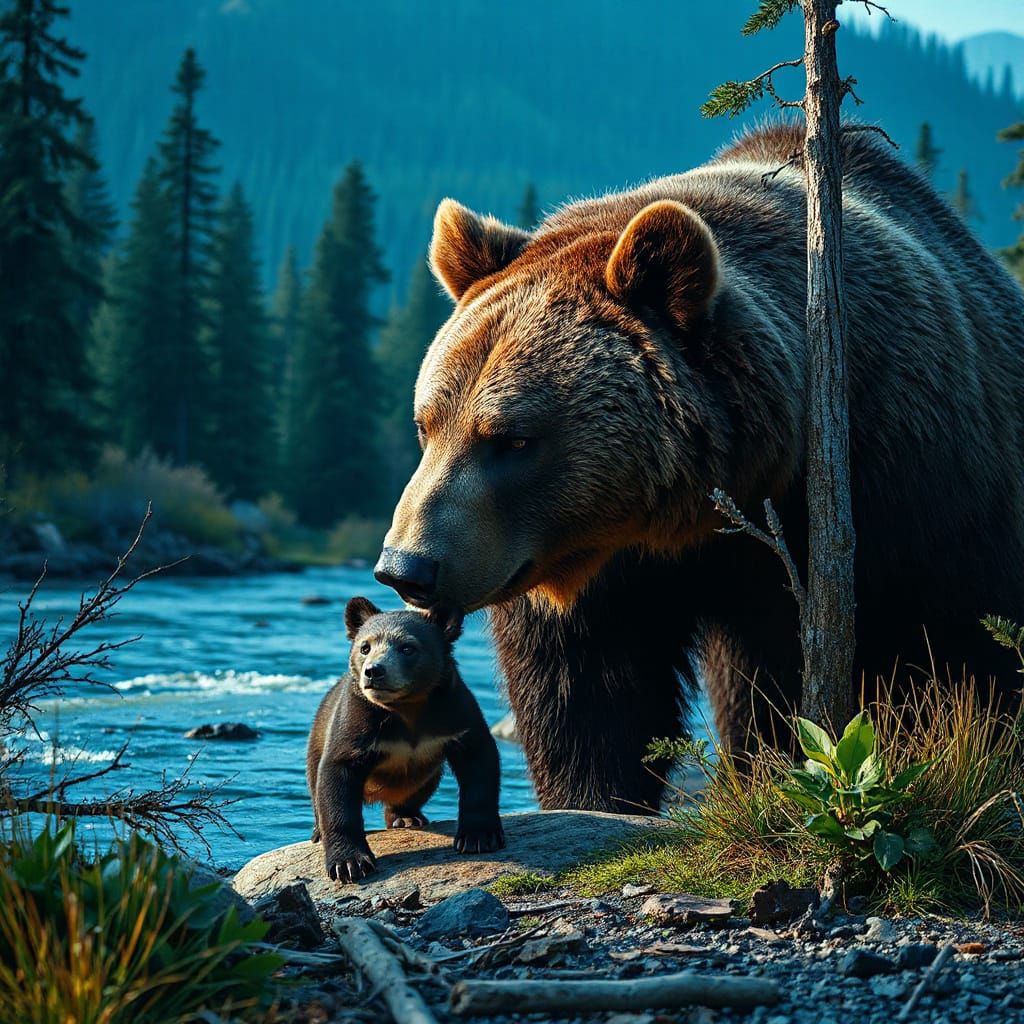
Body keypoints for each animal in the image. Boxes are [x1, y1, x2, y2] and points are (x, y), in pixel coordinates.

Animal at [307, 596, 504, 882]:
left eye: (408, 647)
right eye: (365, 646)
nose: (374, 671)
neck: (407, 709)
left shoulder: (456, 713)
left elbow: (479, 761)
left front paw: (479, 837)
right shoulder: (356, 722)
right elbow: (338, 774)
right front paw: (350, 863)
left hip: (426, 775)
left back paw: (407, 816)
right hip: (317, 737)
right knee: (315, 781)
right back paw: (318, 830)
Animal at [373, 124, 1024, 814]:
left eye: (514, 439)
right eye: (427, 424)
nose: (406, 566)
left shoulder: (906, 494)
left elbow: (946, 663)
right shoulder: (599, 569)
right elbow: (586, 694)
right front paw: (596, 794)